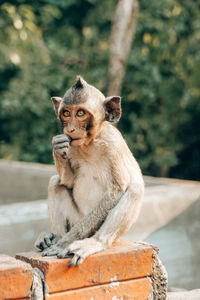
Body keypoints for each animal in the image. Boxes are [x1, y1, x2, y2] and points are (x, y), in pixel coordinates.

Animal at [34, 75, 144, 268]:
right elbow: (68, 182)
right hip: (76, 218)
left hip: (94, 229)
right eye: (66, 113)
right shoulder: (71, 146)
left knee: (134, 190)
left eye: (80, 113)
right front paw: (57, 147)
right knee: (55, 183)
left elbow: (117, 190)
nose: (70, 129)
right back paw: (55, 237)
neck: (89, 144)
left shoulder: (112, 143)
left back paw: (92, 242)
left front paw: (64, 244)